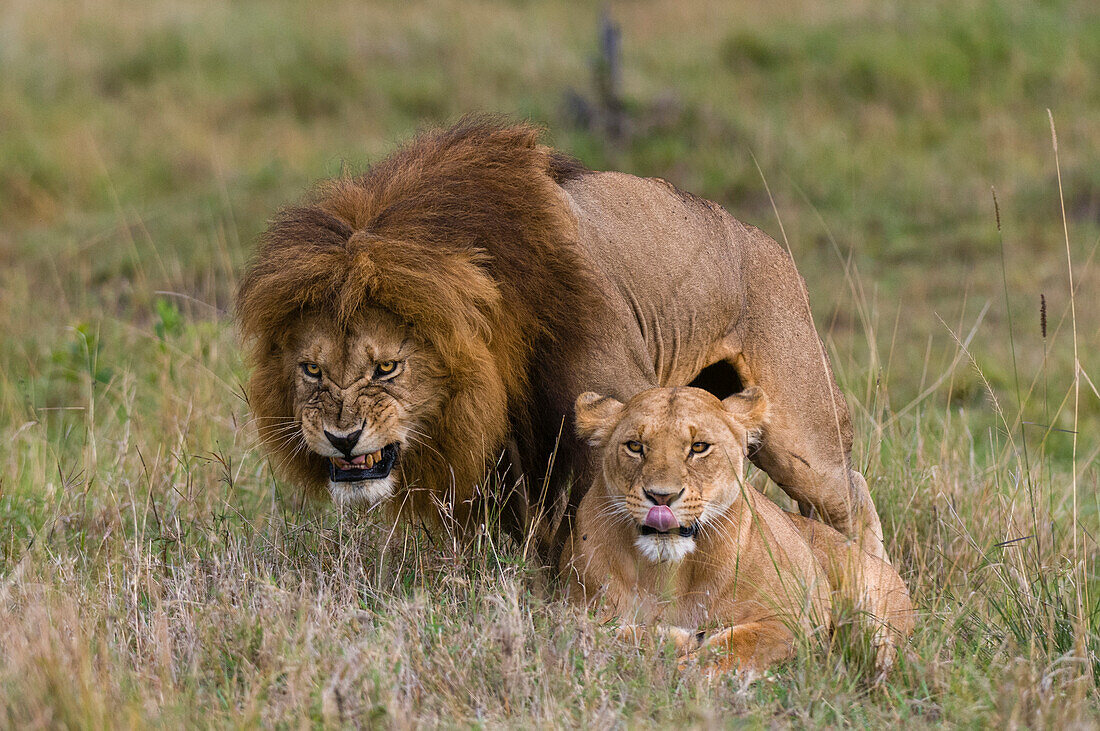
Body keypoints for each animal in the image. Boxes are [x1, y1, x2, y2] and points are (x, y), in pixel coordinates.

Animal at [238, 117, 884, 556]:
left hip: (800, 432)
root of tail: (766, 242)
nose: (342, 438)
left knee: (848, 494)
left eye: (386, 368)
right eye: (312, 370)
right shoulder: (502, 457)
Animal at [558, 384, 910, 677]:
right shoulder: (575, 607)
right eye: (634, 446)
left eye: (699, 447)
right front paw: (664, 639)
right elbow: (591, 633)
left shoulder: (793, 617)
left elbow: (735, 646)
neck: (668, 571)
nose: (661, 497)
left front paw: (684, 664)